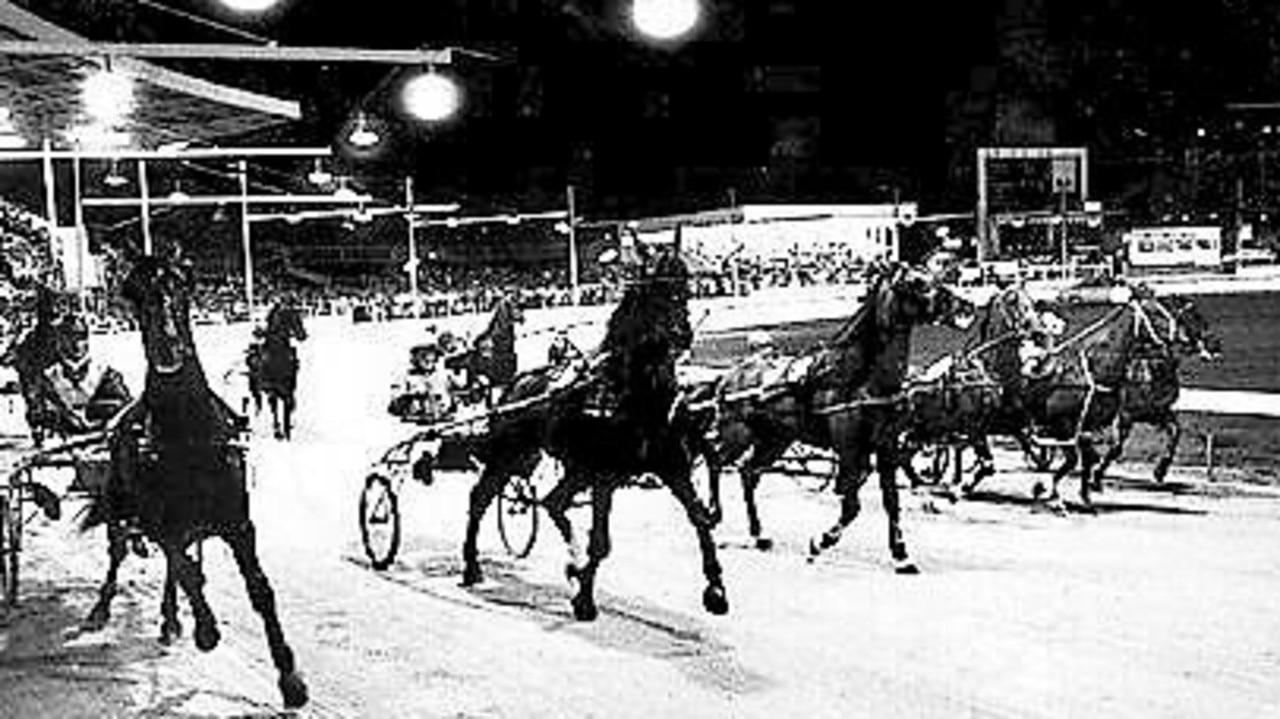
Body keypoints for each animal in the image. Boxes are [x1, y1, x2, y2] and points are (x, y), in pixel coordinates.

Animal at [254, 296, 307, 437]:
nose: (303, 335)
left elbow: (289, 406)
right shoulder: (272, 388)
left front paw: (288, 427)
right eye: (292, 317)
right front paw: (278, 430)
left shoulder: (288, 386)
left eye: (300, 316)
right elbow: (275, 407)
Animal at [460, 249, 727, 619]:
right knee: (481, 499)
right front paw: (585, 598)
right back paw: (471, 566)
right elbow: (600, 543)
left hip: (572, 467)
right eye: (653, 292)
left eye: (684, 287)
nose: (681, 333)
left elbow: (700, 518)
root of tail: (515, 384)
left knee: (552, 502)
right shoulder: (604, 476)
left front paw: (715, 588)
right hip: (509, 455)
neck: (634, 396)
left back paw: (572, 562)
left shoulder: (672, 468)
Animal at [701, 259, 967, 568]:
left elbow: (891, 501)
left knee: (748, 472)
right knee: (715, 460)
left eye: (933, 275)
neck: (862, 378)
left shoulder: (886, 446)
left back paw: (759, 534)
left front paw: (901, 554)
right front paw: (822, 541)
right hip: (738, 433)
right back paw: (713, 514)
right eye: (916, 282)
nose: (961, 304)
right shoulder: (849, 447)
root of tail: (729, 376)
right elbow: (851, 505)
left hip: (776, 439)